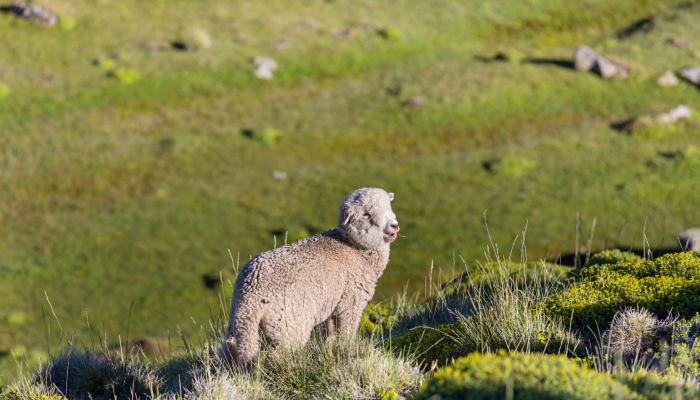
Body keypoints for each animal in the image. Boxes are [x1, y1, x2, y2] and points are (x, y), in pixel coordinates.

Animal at [221, 188, 402, 368]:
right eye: (366, 214)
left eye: (389, 206)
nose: (394, 226)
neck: (354, 248)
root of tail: (249, 297)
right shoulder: (351, 301)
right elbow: (346, 332)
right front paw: (348, 350)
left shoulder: (333, 305)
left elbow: (329, 334)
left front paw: (329, 351)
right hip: (289, 325)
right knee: (277, 356)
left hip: (239, 324)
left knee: (228, 349)